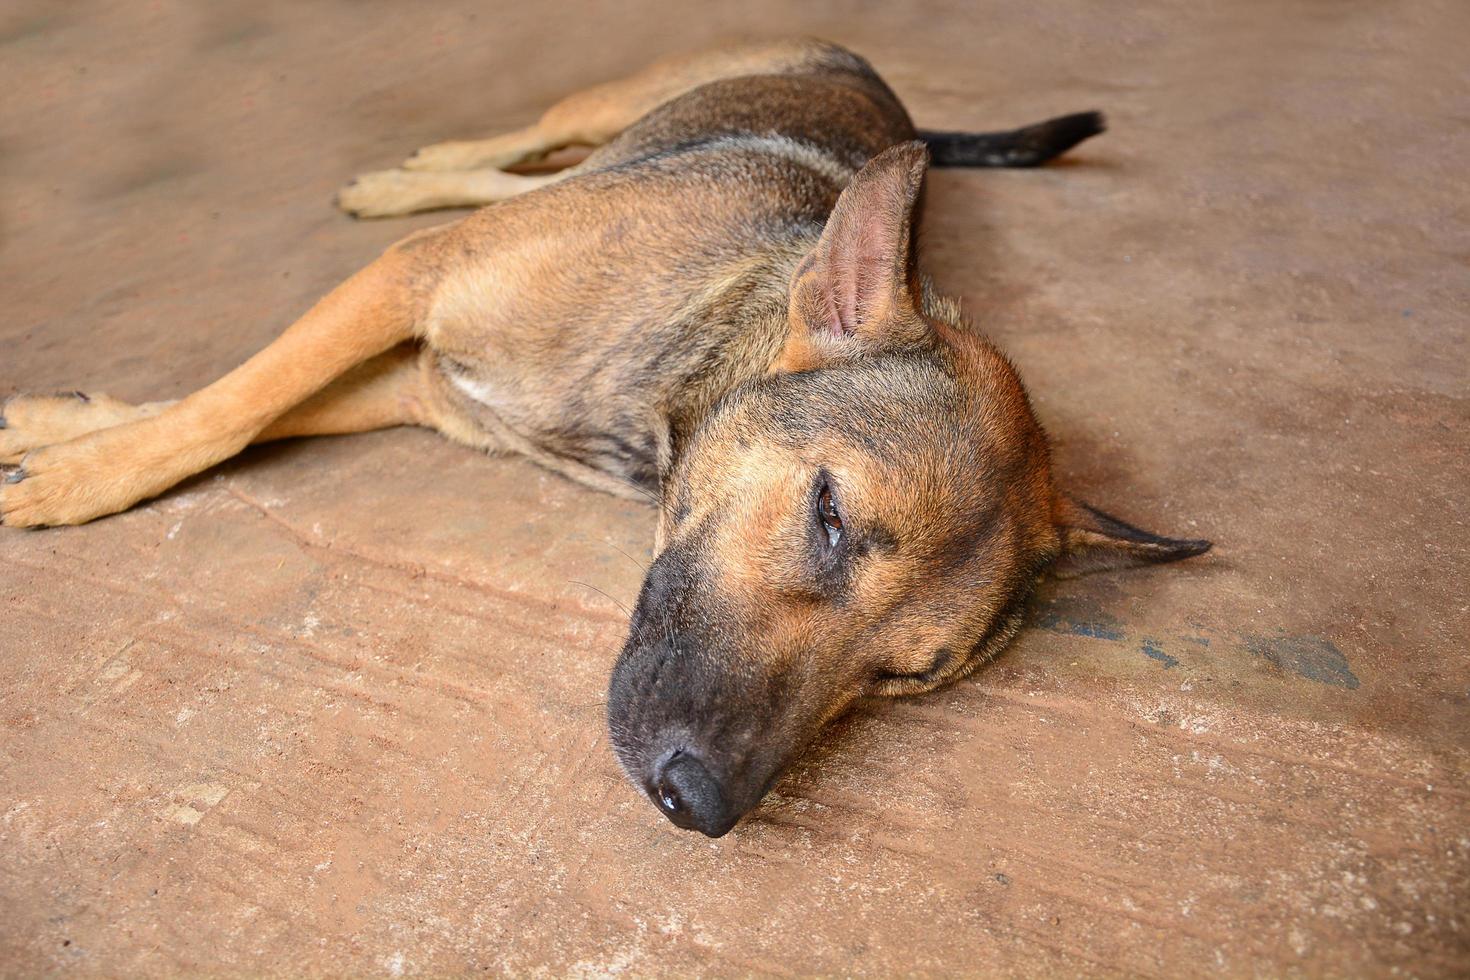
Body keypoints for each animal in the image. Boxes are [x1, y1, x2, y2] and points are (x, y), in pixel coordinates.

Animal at [0, 40, 1205, 834]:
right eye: (829, 514)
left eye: (903, 677)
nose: (699, 803)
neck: (668, 391)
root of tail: (867, 70)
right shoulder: (410, 287)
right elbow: (232, 407)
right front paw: (84, 467)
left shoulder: (420, 381)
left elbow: (251, 416)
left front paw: (69, 433)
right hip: (610, 96)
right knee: (529, 141)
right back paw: (412, 170)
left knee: (527, 170)